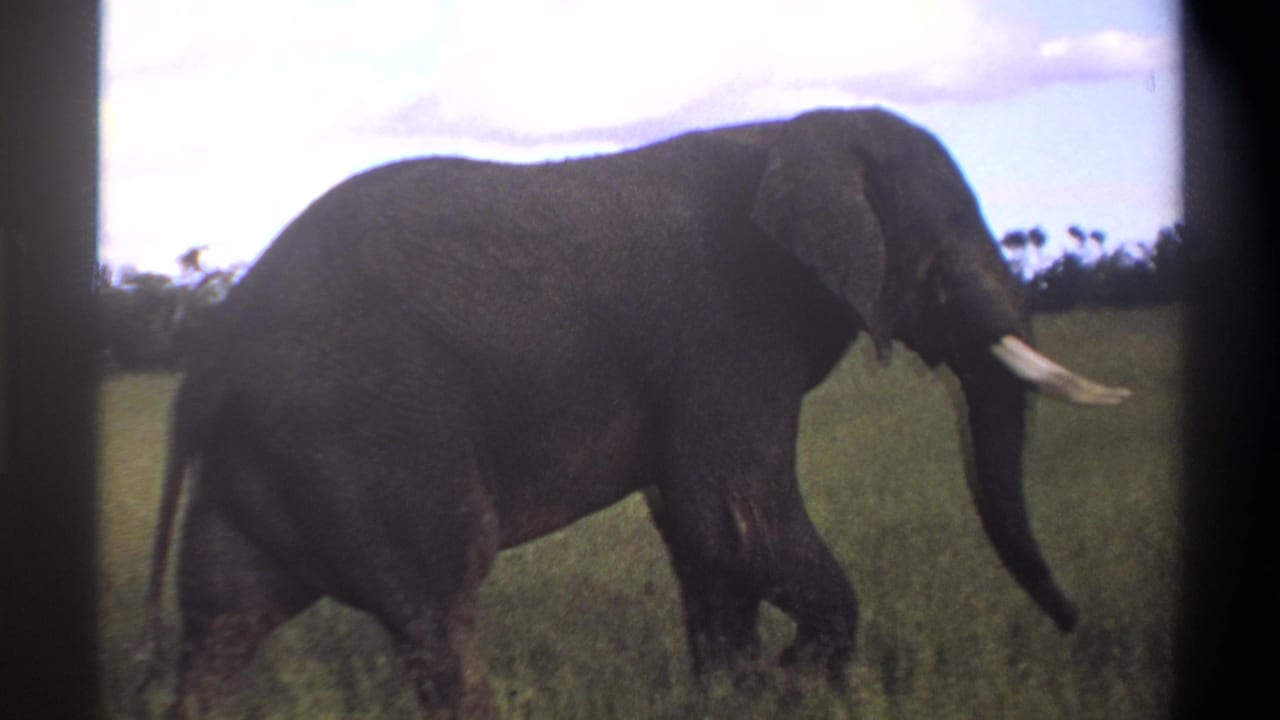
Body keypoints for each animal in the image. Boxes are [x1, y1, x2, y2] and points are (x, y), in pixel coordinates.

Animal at [138, 107, 1130, 718]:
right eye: (945, 249)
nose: (1077, 626)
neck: (795, 132)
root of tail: (204, 365)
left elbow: (704, 537)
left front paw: (737, 695)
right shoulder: (725, 332)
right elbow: (732, 517)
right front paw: (788, 691)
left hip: (265, 467)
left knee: (223, 624)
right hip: (361, 441)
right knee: (439, 610)